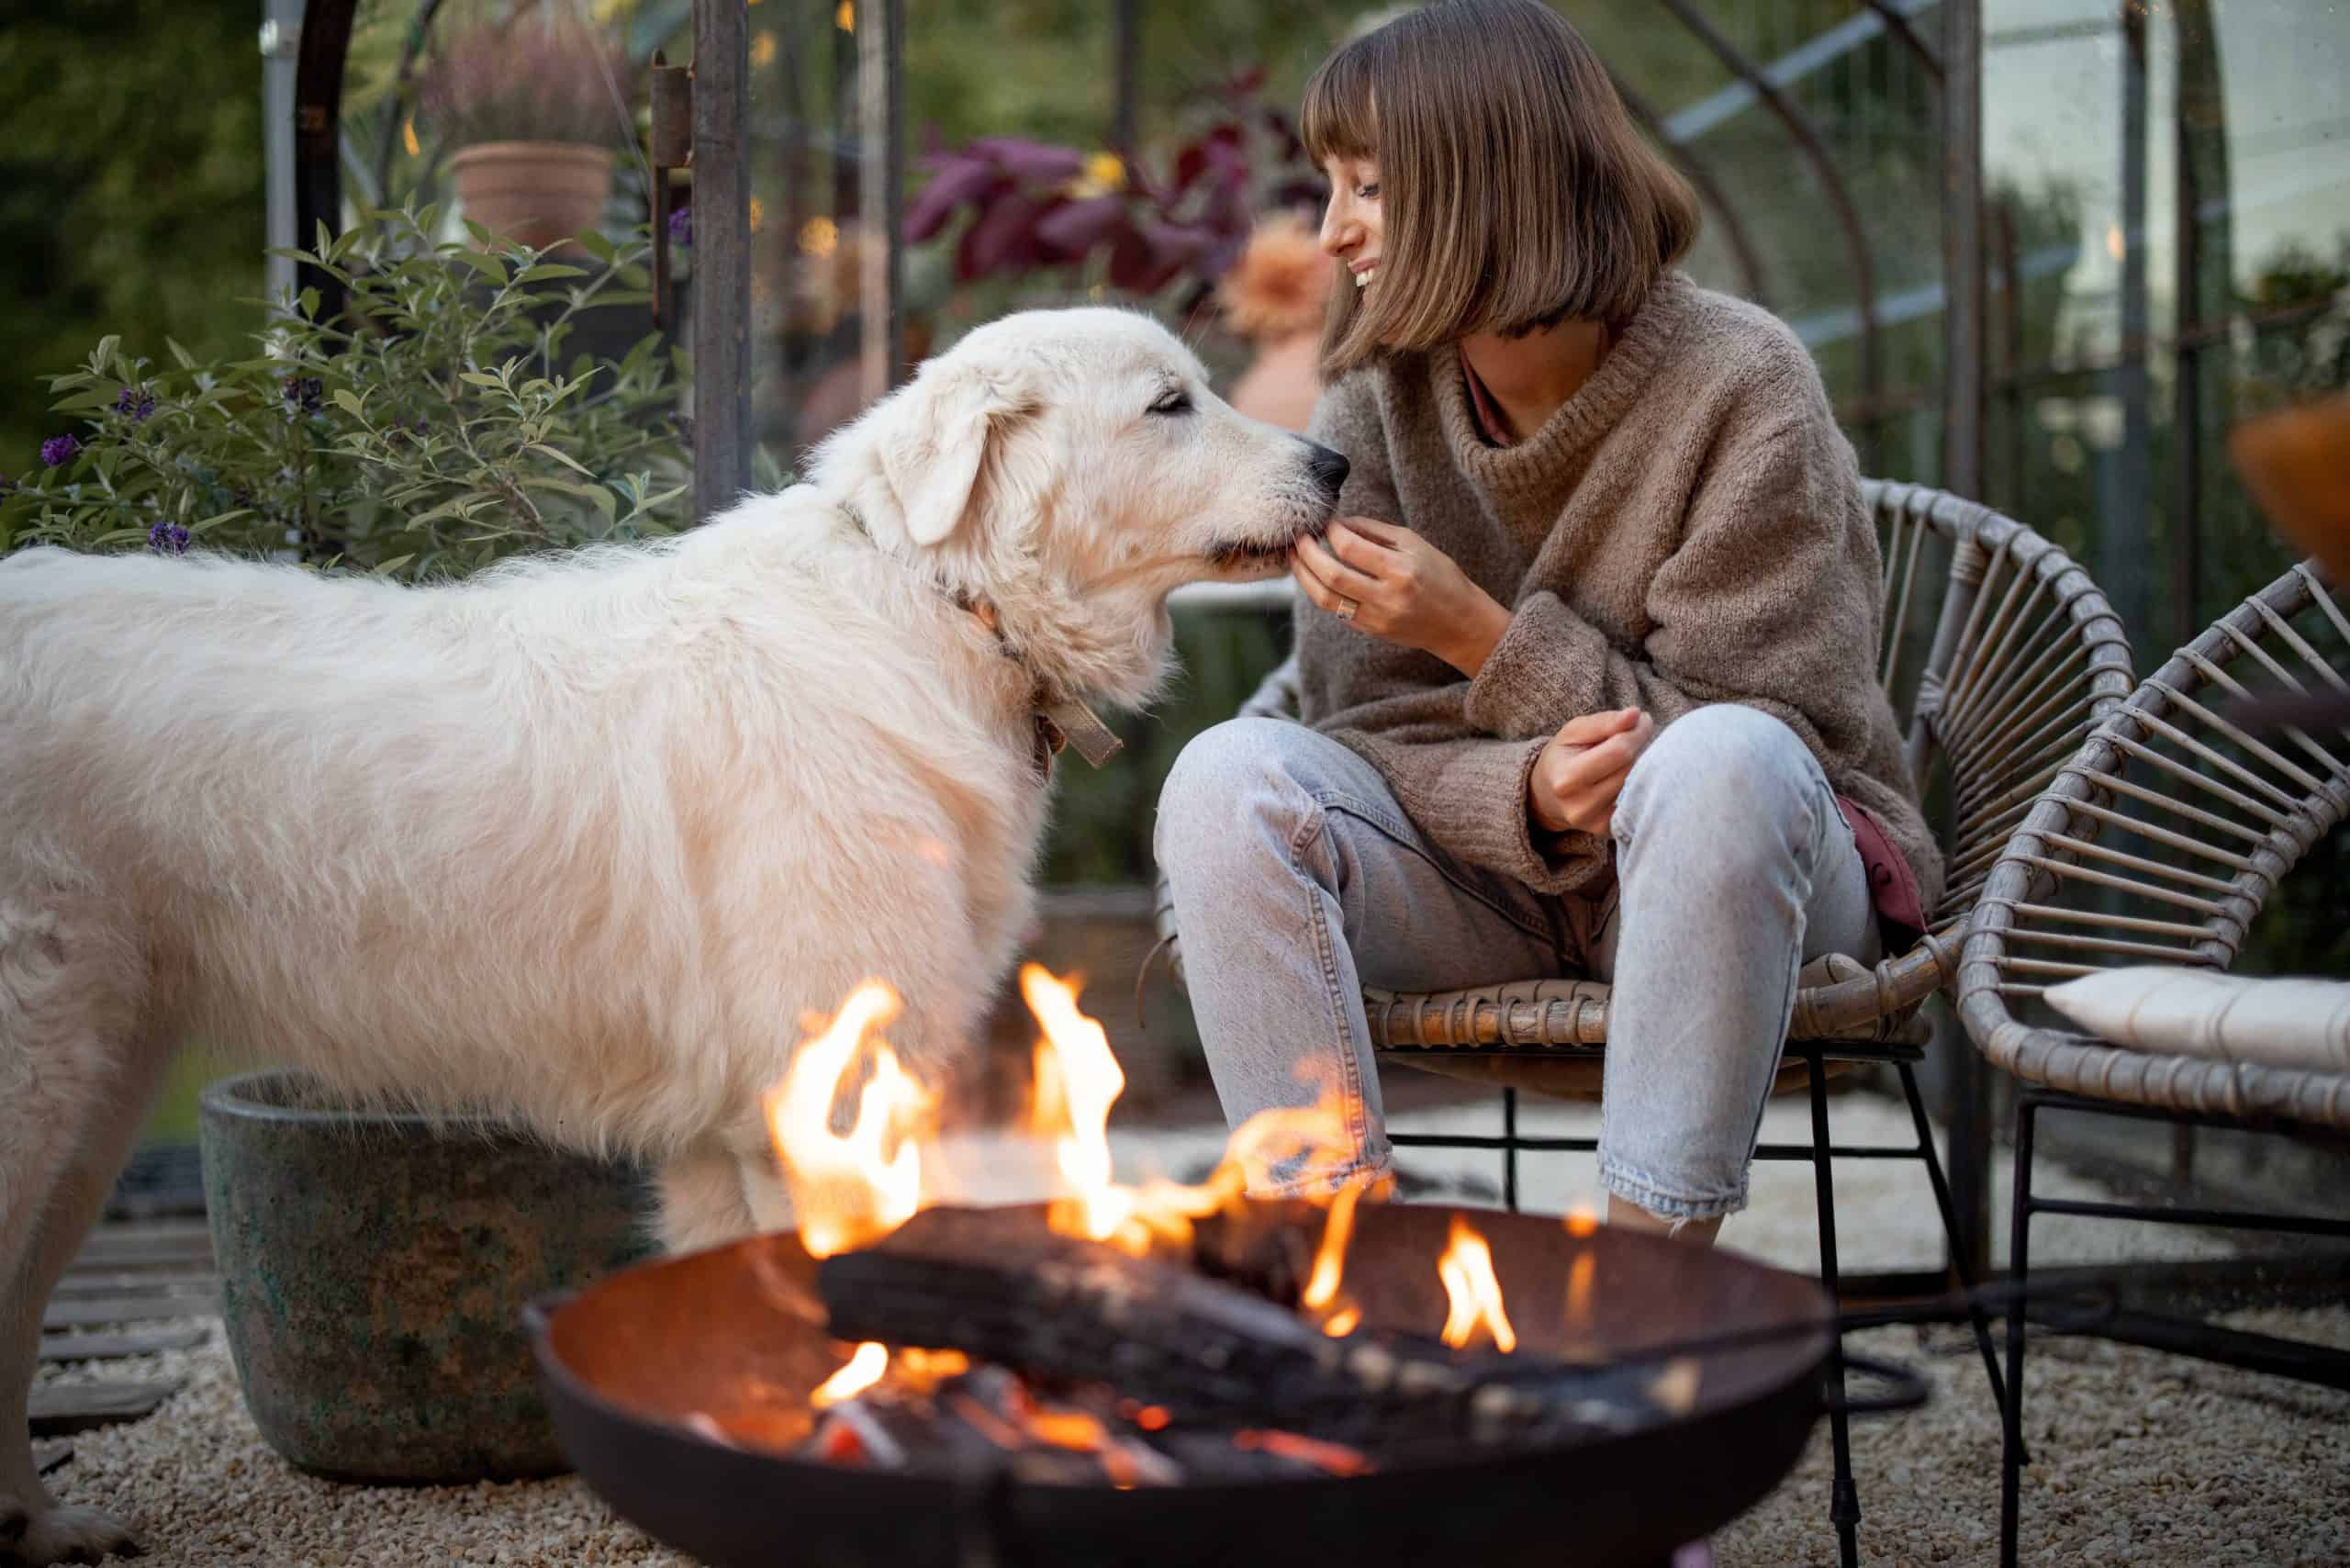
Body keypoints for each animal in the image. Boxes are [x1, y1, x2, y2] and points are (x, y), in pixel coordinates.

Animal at [0, 310, 1353, 1568]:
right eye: (1170, 405)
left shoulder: (724, 1136)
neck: (937, 605)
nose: (1338, 462)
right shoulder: (823, 1093)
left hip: (97, 1102)